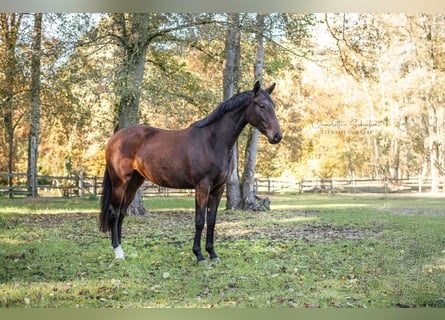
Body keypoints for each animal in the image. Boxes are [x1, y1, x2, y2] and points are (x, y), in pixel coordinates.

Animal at [99, 81, 280, 264]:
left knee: (122, 213)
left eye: (273, 106)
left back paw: (124, 251)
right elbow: (199, 220)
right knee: (114, 213)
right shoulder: (202, 186)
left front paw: (212, 253)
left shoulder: (218, 188)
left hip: (134, 183)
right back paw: (118, 253)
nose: (277, 136)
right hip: (120, 183)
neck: (213, 140)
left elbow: (212, 220)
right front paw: (199, 255)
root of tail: (114, 138)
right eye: (261, 105)